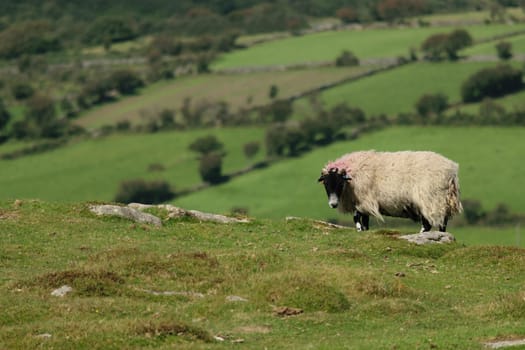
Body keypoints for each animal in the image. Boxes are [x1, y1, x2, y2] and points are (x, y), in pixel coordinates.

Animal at [318, 150, 460, 232]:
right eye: (325, 183)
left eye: (340, 183)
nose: (333, 204)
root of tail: (451, 171)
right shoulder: (364, 204)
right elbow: (365, 221)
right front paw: (365, 231)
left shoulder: (363, 201)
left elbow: (356, 218)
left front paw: (359, 230)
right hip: (442, 202)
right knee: (442, 224)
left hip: (431, 200)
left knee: (429, 225)